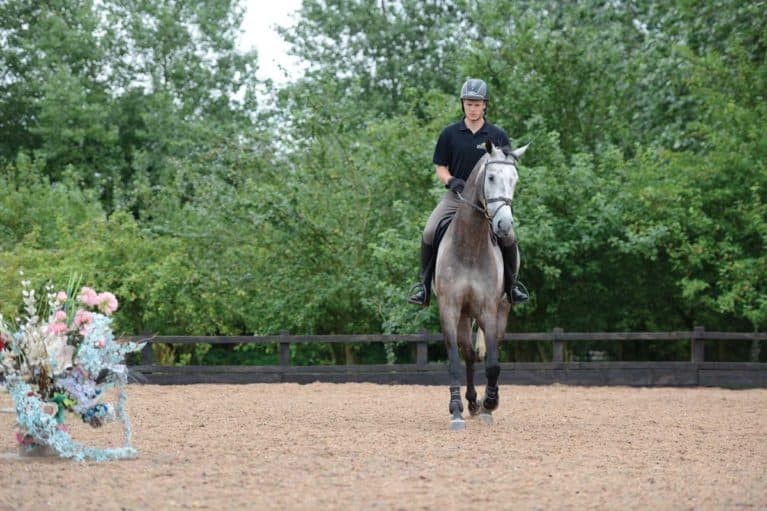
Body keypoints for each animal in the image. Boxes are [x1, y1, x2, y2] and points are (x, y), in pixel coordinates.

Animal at [436, 138, 524, 430]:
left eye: (515, 179)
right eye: (492, 176)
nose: (504, 225)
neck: (470, 245)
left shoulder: (488, 309)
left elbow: (494, 363)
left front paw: (490, 404)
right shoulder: (450, 308)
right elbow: (454, 360)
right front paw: (456, 410)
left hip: (500, 309)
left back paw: (482, 404)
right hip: (464, 314)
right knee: (468, 353)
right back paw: (471, 403)